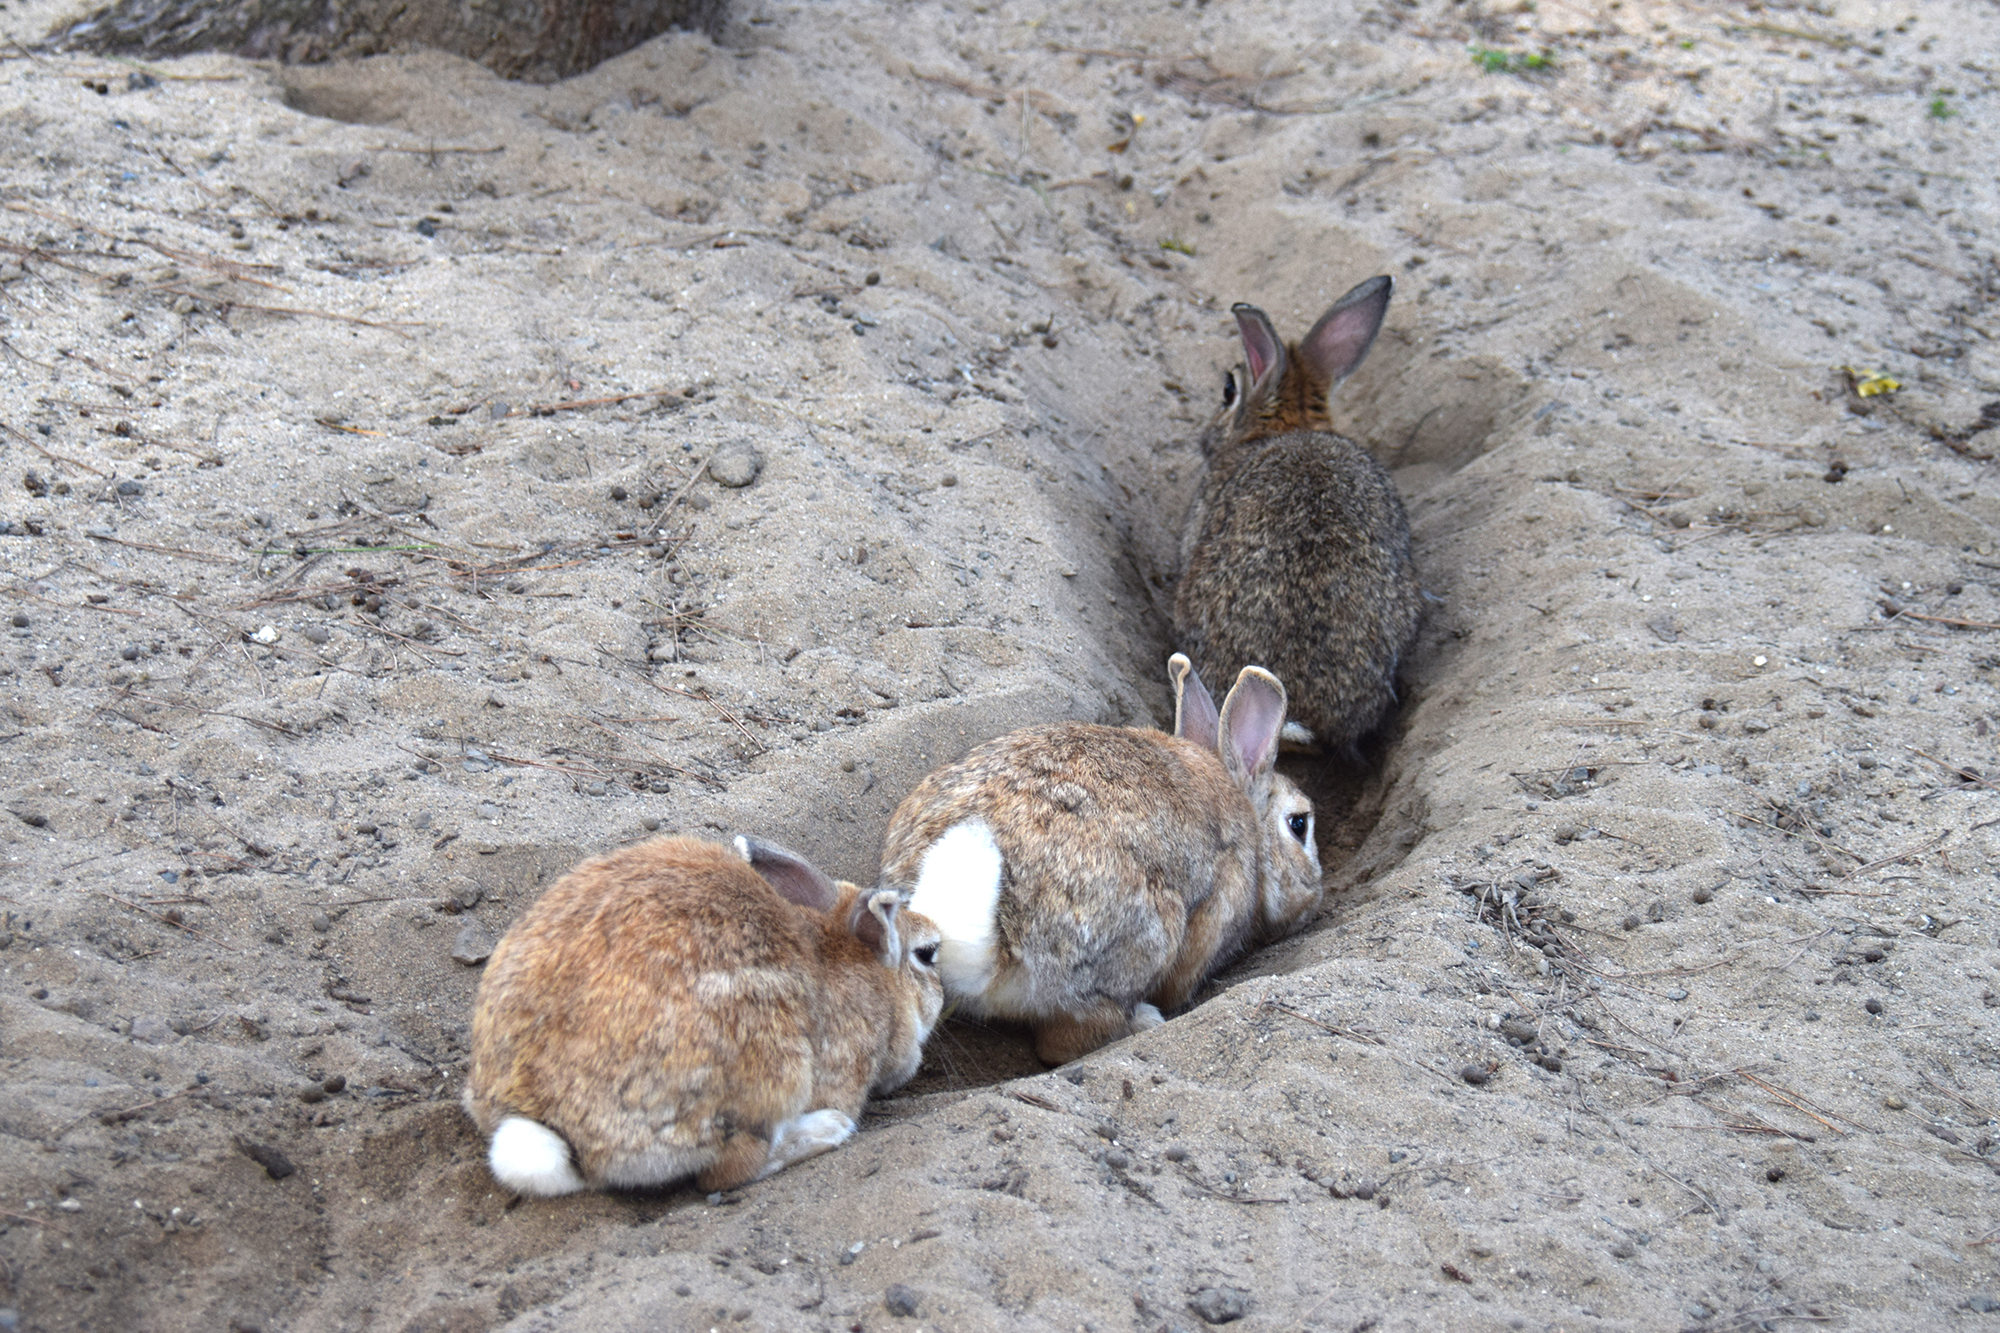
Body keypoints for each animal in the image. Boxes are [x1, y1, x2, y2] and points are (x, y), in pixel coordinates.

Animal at [872, 648, 1312, 1064]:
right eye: (1299, 824)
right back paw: (1143, 1021)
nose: (1313, 901)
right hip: (1140, 941)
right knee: (1066, 1041)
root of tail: (994, 945)